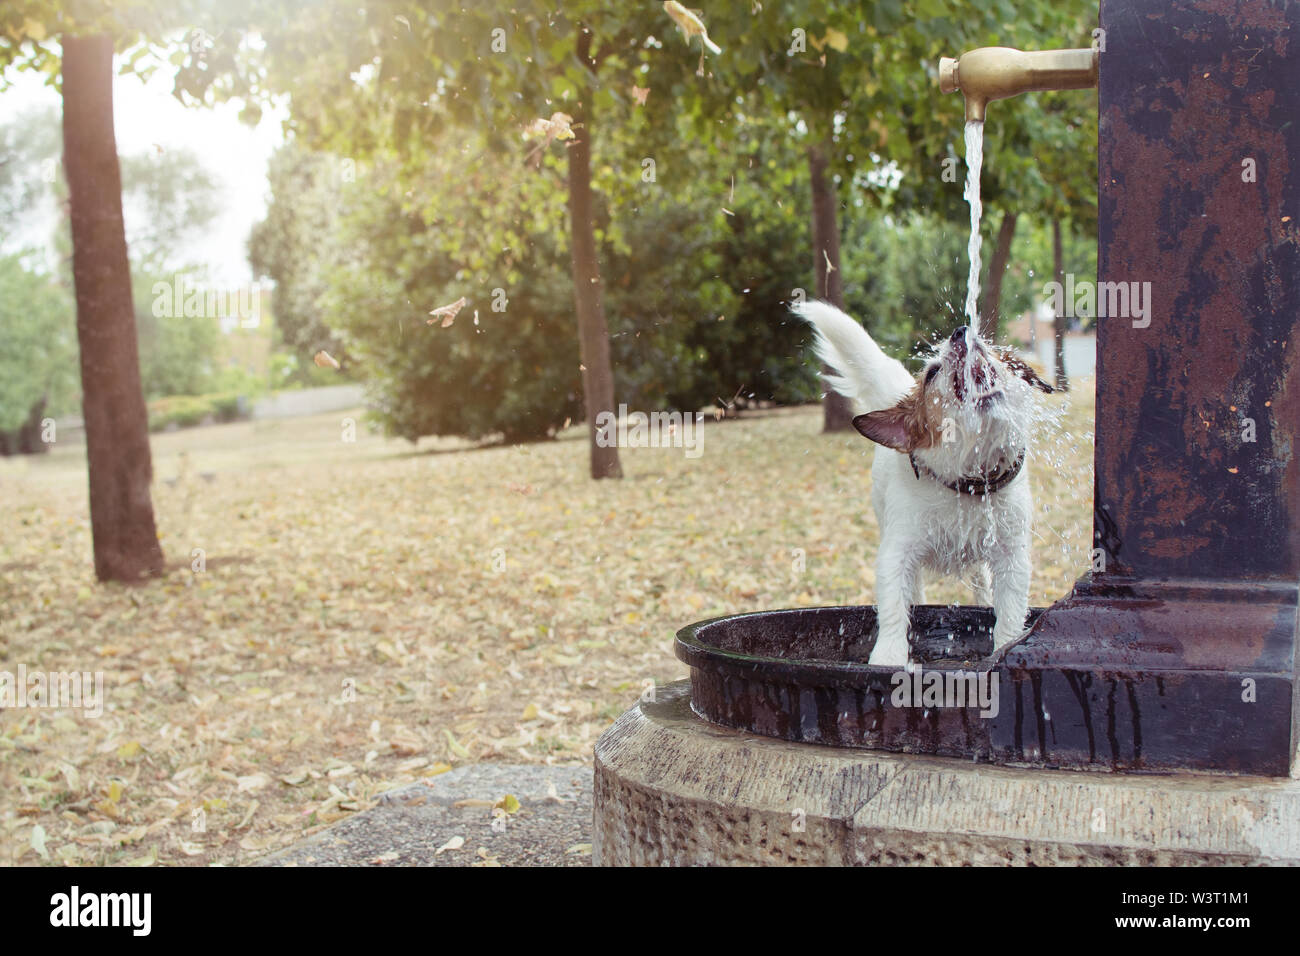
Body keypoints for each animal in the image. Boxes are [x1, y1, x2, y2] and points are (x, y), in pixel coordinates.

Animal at [795, 303, 1050, 671]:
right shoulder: (897, 553)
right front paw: (888, 656)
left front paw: (1006, 647)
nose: (961, 331)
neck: (966, 486)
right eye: (932, 373)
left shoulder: (1011, 556)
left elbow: (1011, 611)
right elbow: (893, 608)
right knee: (914, 591)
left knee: (981, 581)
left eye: (989, 353)